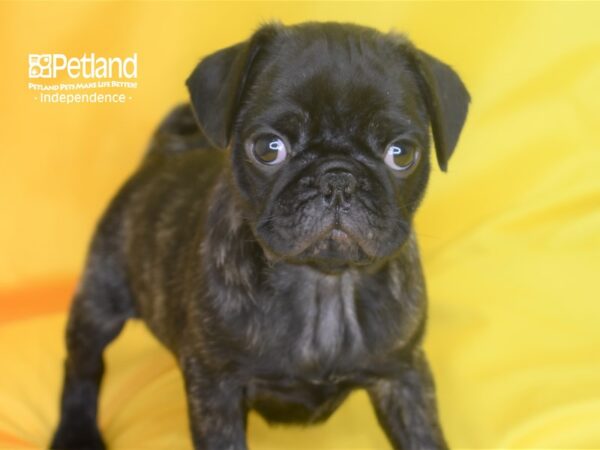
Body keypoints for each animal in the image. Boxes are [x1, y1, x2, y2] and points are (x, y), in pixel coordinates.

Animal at [49, 21, 468, 450]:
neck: (324, 283)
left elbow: (424, 436)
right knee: (82, 367)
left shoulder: (404, 376)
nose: (338, 179)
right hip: (100, 302)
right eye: (269, 148)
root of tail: (161, 154)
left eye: (401, 153)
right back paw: (75, 433)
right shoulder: (215, 387)